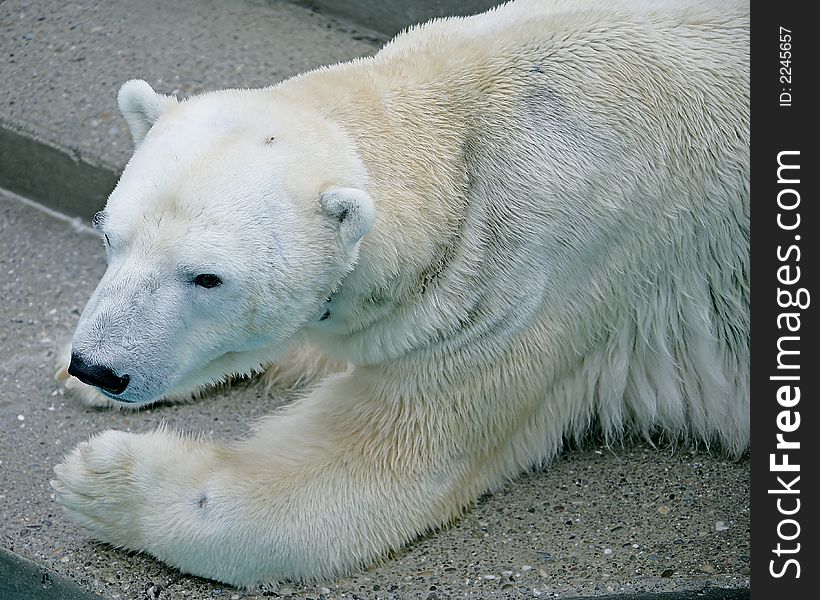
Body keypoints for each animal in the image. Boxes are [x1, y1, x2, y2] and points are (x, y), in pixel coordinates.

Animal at [52, 0, 748, 592]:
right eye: (110, 236)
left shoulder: (540, 275)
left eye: (206, 277)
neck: (457, 131)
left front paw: (97, 481)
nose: (100, 367)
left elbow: (370, 472)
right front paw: (71, 372)